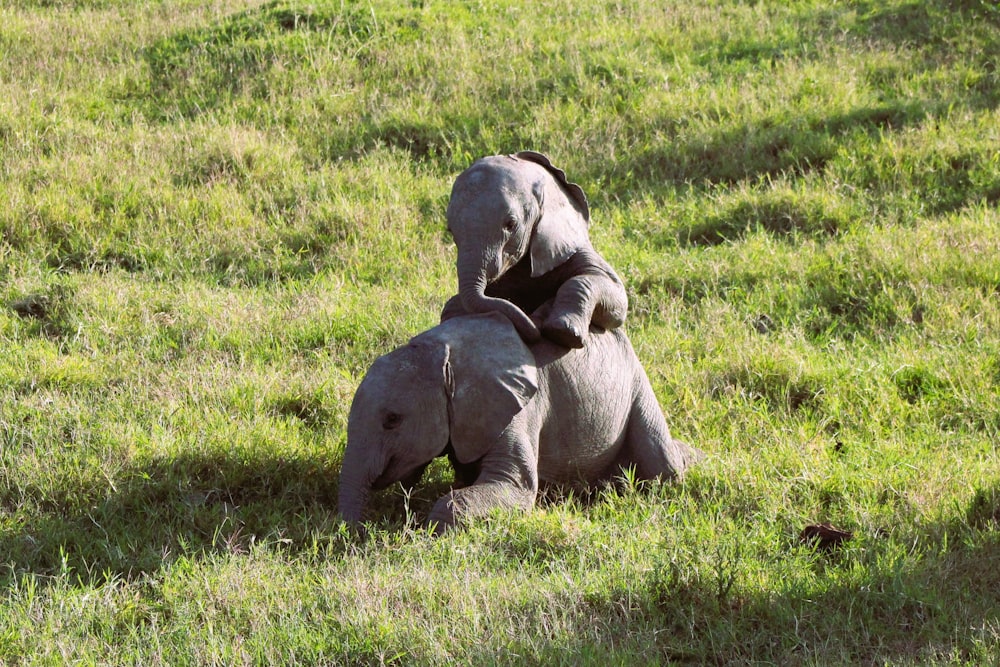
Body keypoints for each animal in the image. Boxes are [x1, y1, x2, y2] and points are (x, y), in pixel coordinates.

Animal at [338, 310, 704, 532]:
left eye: (392, 420)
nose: (358, 532)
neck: (442, 353)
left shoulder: (518, 409)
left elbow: (516, 487)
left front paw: (430, 531)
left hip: (636, 382)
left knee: (663, 467)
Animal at [440, 151, 624, 350]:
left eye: (510, 224)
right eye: (450, 229)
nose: (535, 325)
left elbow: (612, 290)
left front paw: (563, 333)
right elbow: (454, 304)